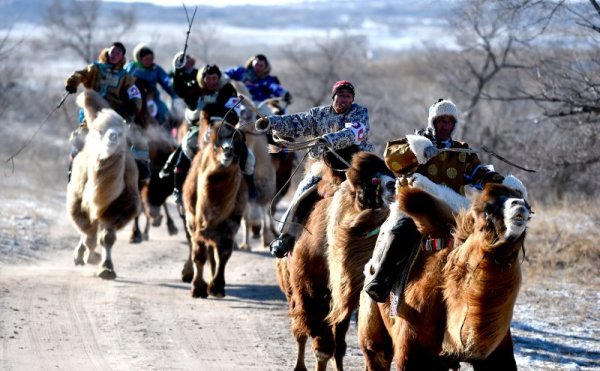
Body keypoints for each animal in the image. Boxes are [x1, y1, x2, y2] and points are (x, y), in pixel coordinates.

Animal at [67, 90, 142, 280]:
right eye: (100, 131)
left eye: (122, 132)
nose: (112, 136)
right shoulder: (79, 203)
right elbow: (89, 234)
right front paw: (90, 256)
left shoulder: (118, 207)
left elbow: (107, 237)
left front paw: (106, 269)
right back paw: (82, 255)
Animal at [178, 115, 246, 298]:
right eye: (216, 143)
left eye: (238, 143)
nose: (228, 150)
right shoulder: (195, 220)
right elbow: (199, 254)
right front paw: (198, 288)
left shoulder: (232, 222)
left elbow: (224, 253)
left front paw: (217, 287)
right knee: (194, 244)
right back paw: (188, 274)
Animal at [276, 152, 398, 371]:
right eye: (372, 181)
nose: (394, 185)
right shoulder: (311, 291)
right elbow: (322, 346)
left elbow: (338, 344)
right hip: (292, 291)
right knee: (300, 331)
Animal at [356, 179, 528, 370]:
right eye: (487, 208)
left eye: (527, 203)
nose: (519, 206)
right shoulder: (411, 350)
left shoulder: (498, 354)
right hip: (372, 334)